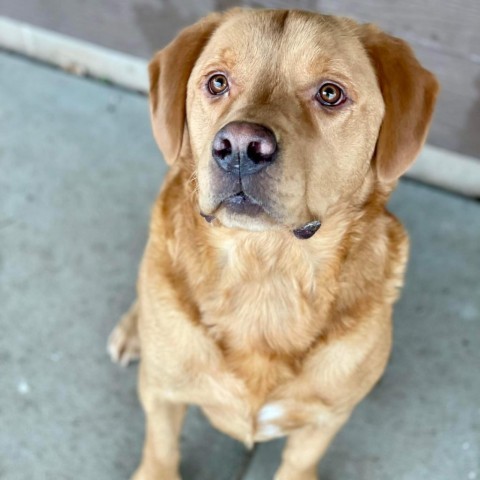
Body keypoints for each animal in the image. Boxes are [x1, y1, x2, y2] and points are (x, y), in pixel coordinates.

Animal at [108, 8, 438, 480]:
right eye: (217, 82)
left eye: (330, 93)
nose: (240, 146)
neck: (266, 271)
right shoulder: (162, 395)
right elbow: (161, 448)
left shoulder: (324, 420)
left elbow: (300, 461)